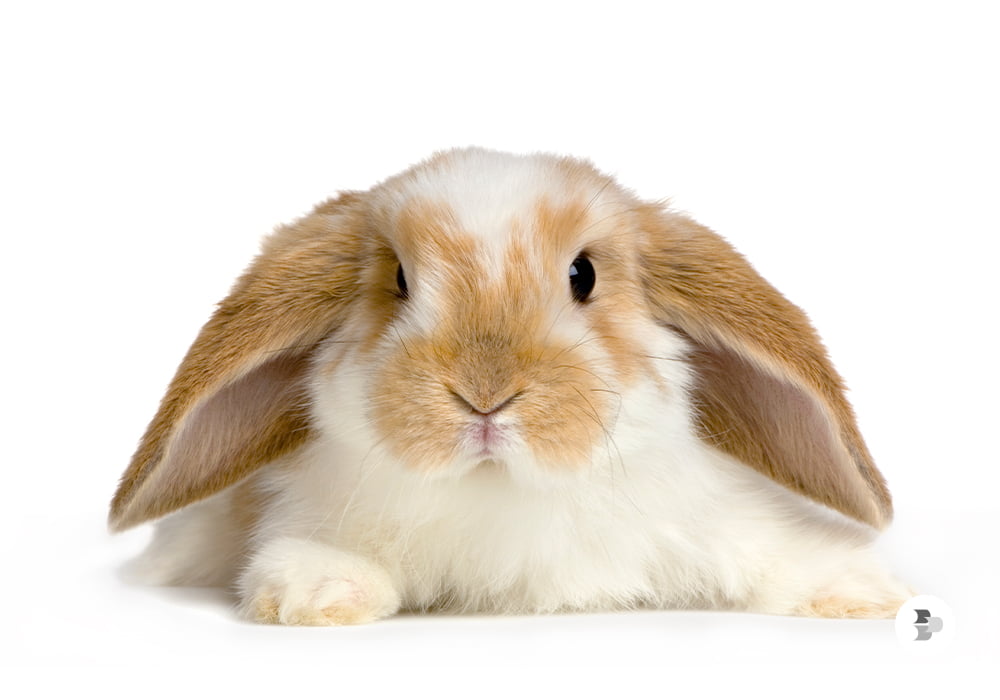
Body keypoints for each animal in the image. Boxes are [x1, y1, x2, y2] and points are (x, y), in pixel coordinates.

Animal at [110, 147, 911, 625]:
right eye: (398, 280)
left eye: (584, 274)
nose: (485, 394)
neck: (505, 490)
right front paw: (317, 592)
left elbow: (773, 554)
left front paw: (861, 591)